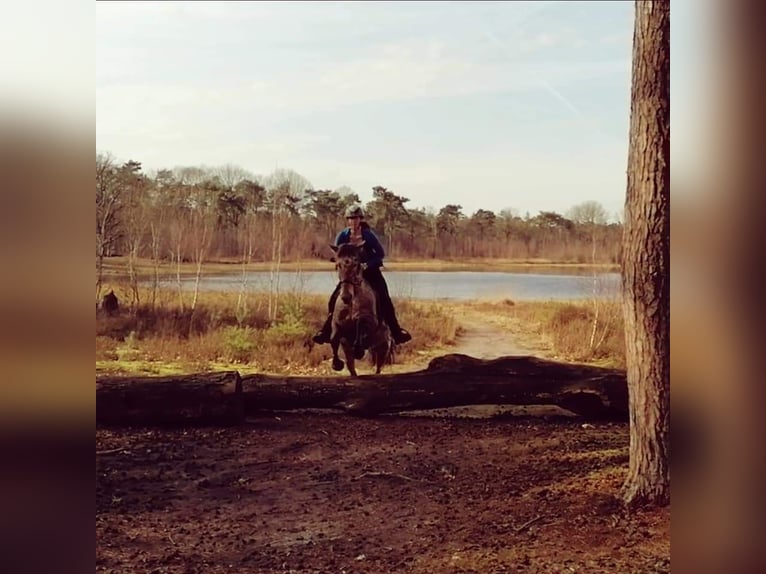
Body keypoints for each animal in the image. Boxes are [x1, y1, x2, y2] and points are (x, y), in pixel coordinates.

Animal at [328, 243, 392, 378]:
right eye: (338, 264)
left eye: (356, 263)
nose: (346, 296)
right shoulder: (337, 323)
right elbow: (334, 338)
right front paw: (336, 364)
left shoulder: (371, 321)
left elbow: (360, 323)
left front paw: (359, 351)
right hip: (349, 351)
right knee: (352, 368)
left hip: (383, 348)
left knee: (378, 368)